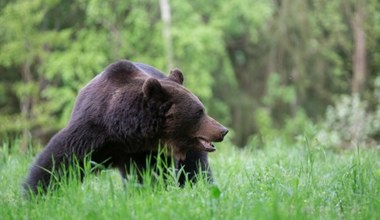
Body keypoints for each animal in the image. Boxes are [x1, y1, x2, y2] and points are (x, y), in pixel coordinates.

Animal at [23, 59, 229, 193]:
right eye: (199, 112)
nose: (223, 130)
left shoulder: (148, 152)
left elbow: (152, 174)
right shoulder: (91, 131)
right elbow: (59, 161)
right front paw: (36, 193)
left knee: (195, 168)